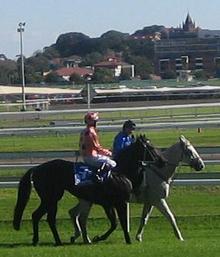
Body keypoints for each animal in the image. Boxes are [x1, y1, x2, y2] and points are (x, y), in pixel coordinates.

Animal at [12, 134, 163, 244]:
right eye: (150, 147)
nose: (162, 161)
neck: (119, 173)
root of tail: (37, 168)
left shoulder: (109, 204)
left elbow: (115, 223)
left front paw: (98, 238)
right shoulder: (116, 203)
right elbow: (118, 223)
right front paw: (125, 240)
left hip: (50, 199)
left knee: (38, 216)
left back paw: (40, 240)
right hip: (51, 198)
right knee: (47, 218)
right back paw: (56, 241)